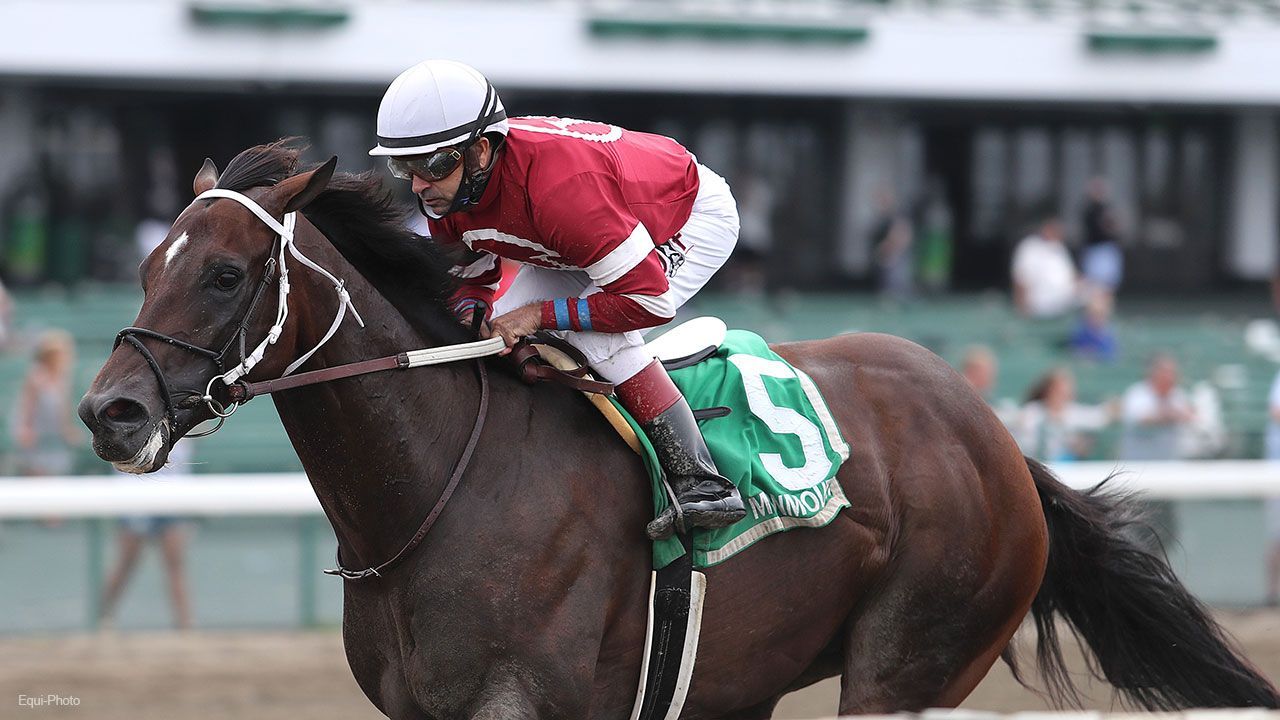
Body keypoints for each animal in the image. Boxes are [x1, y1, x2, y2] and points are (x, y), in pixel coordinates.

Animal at [79, 140, 1279, 719]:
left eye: (225, 273)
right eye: (147, 265)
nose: (108, 412)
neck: (441, 489)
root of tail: (993, 435)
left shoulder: (519, 705)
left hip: (910, 664)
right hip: (743, 682)